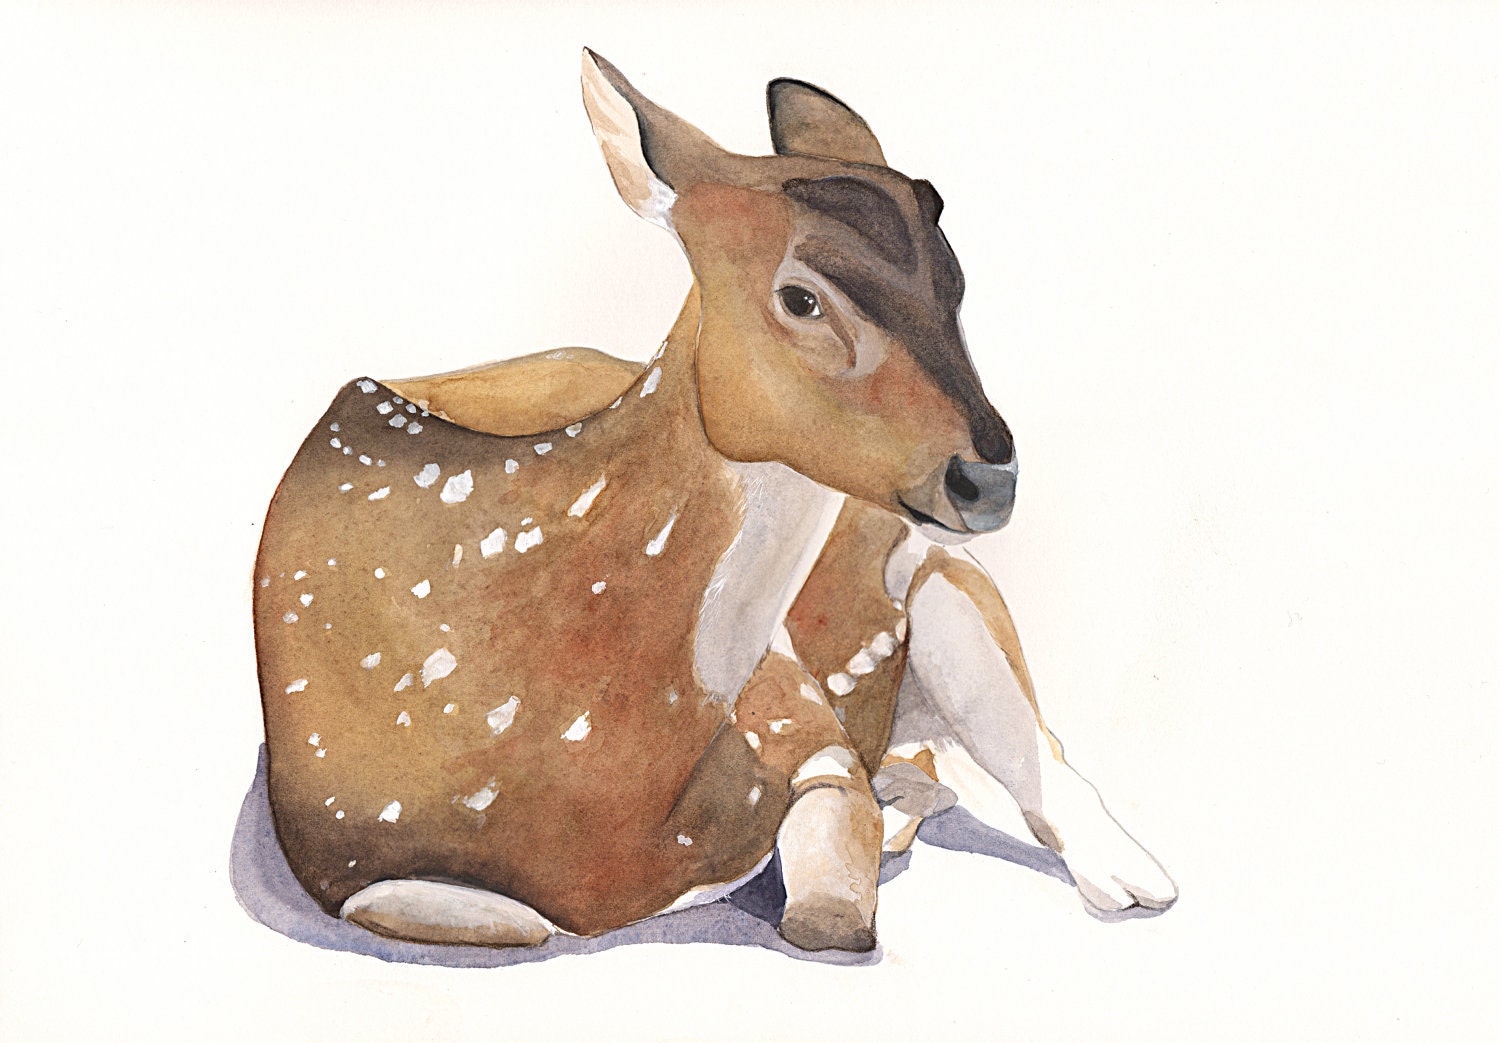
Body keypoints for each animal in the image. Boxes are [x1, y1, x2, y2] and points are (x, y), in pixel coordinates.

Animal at [251, 50, 1177, 954]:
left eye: (955, 282)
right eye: (801, 296)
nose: (987, 477)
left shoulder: (795, 705)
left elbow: (832, 902)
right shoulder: (338, 850)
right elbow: (480, 913)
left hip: (951, 582)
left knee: (1038, 750)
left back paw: (1136, 878)